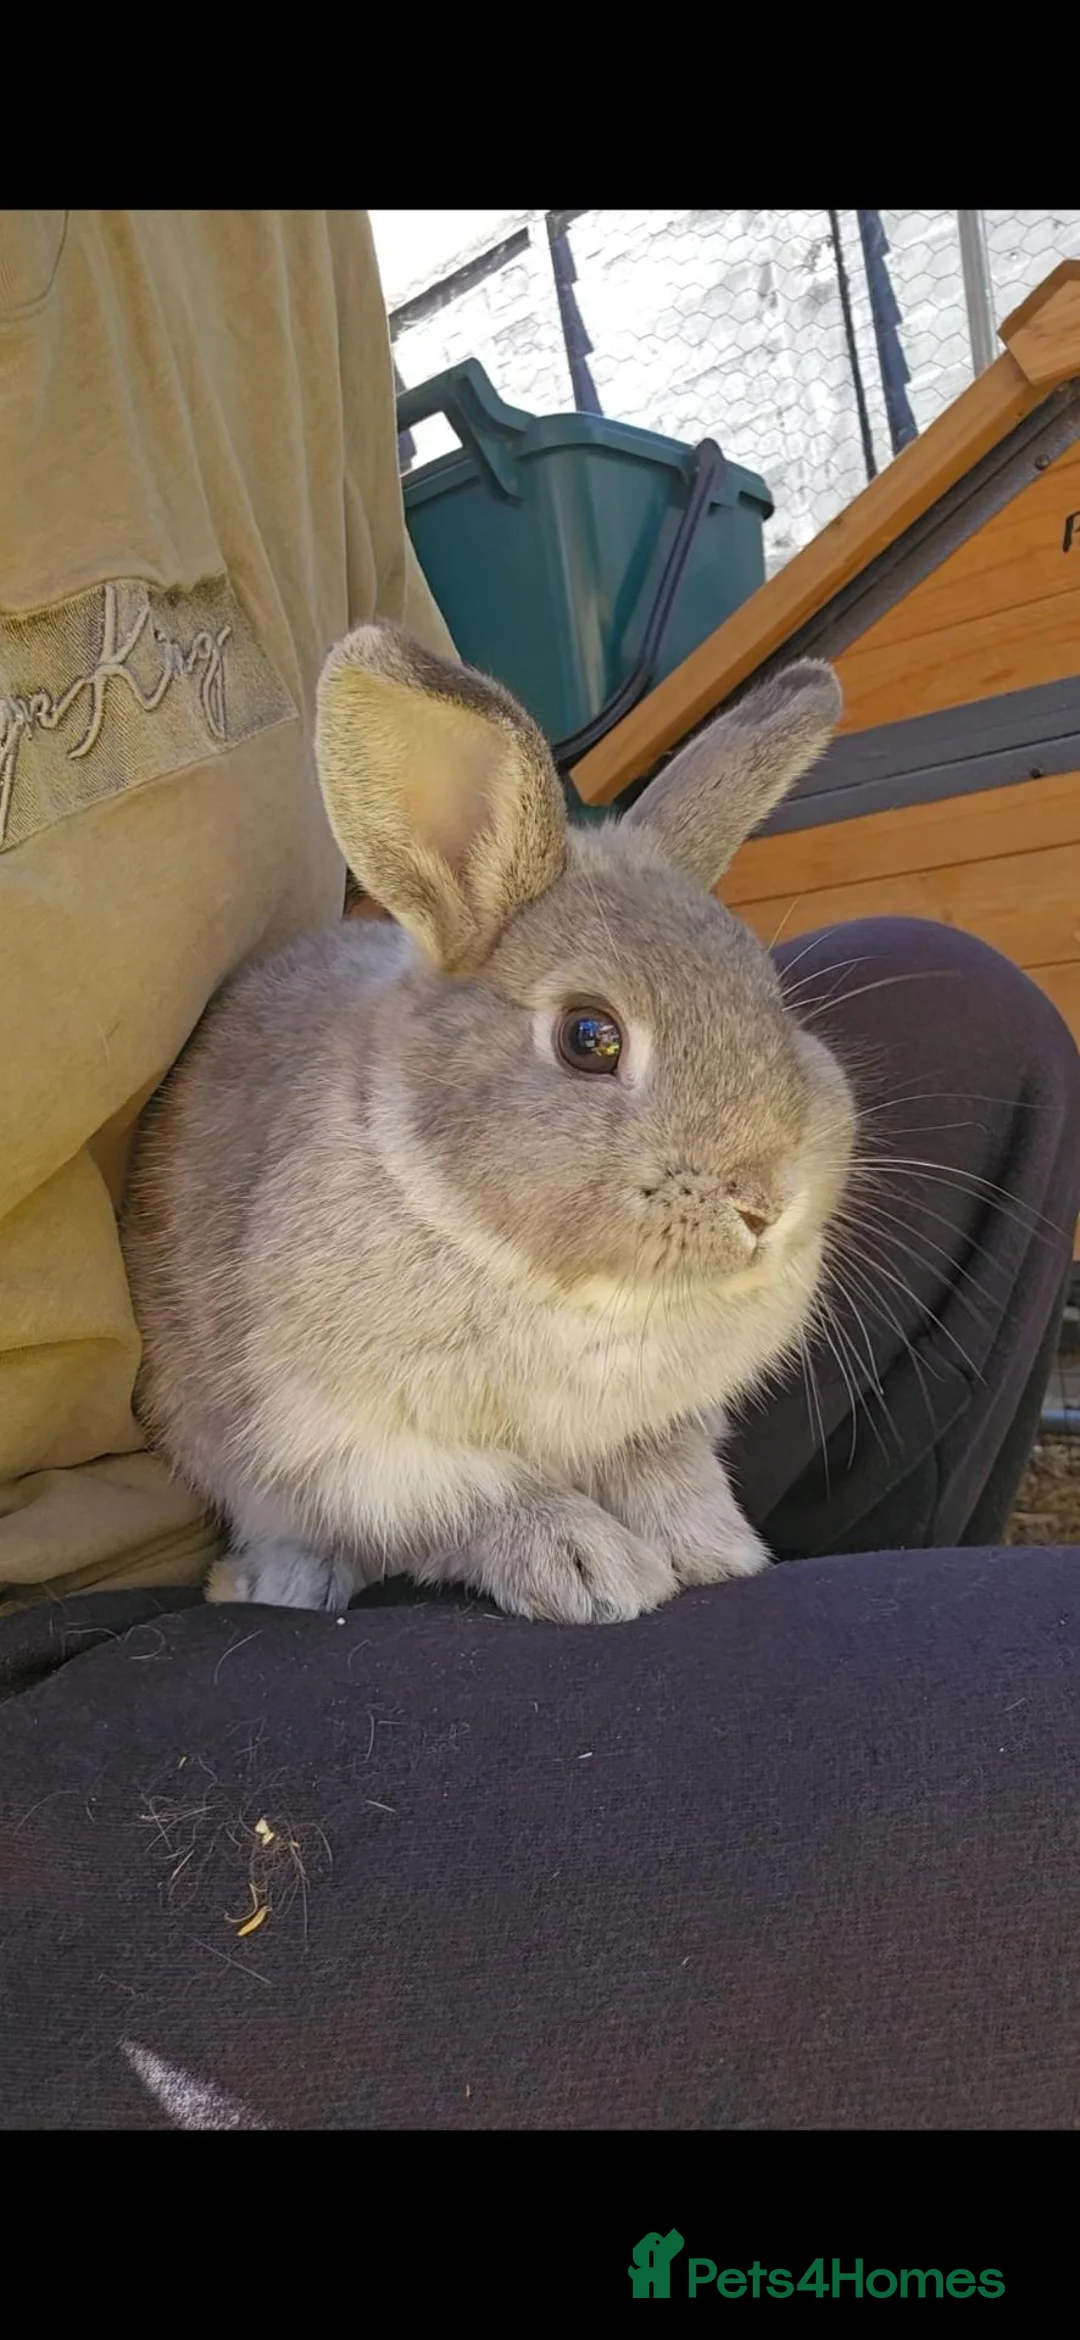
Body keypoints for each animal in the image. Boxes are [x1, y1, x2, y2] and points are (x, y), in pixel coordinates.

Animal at [122, 623, 855, 1624]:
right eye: (590, 1037)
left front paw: (715, 1549)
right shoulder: (360, 1443)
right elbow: (489, 1502)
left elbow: (664, 1474)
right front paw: (595, 1572)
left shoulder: (654, 1425)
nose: (764, 1208)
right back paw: (280, 1582)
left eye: (772, 1002)